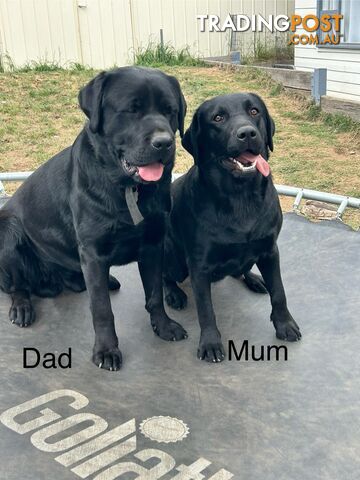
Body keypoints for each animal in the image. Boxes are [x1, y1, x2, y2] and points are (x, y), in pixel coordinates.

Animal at [0, 65, 188, 370]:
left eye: (170, 110)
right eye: (131, 109)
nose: (164, 143)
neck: (128, 188)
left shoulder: (152, 243)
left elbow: (154, 295)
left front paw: (163, 326)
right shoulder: (93, 251)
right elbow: (101, 310)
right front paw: (106, 350)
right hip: (8, 230)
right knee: (17, 284)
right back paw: (22, 307)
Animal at [163, 93, 300, 364]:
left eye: (255, 111)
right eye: (218, 118)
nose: (247, 133)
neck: (240, 197)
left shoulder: (270, 250)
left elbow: (279, 291)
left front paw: (285, 324)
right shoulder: (199, 264)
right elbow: (206, 309)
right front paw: (210, 343)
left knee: (244, 270)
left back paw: (255, 279)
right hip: (173, 256)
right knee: (165, 276)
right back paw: (174, 294)